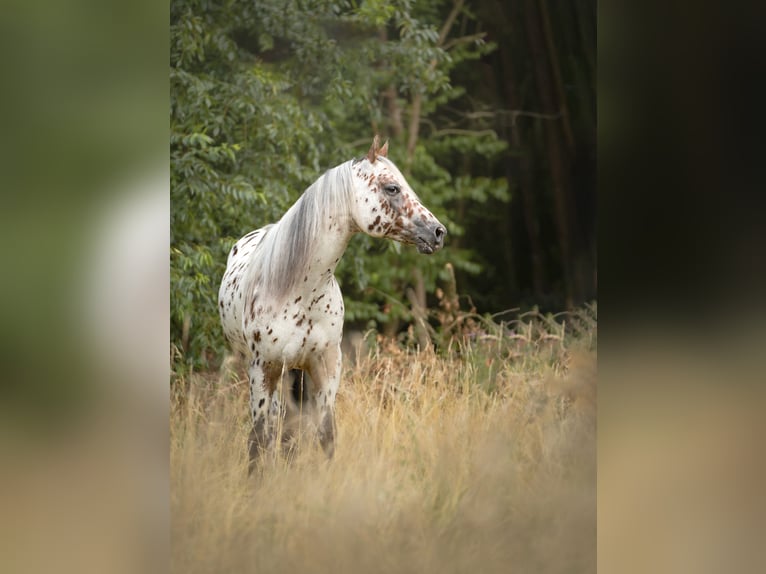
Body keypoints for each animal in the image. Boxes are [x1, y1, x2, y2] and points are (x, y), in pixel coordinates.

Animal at [218, 136, 447, 470]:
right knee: (273, 424)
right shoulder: (263, 368)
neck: (300, 290)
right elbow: (258, 440)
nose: (438, 232)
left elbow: (326, 434)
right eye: (391, 188)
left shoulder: (326, 365)